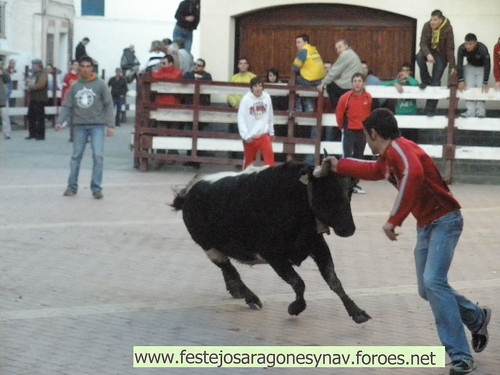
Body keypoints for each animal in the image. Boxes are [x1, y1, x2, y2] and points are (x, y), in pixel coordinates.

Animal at [172, 162, 372, 324]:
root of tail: (189, 192)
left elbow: (334, 281)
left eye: (349, 192)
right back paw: (251, 298)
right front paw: (295, 307)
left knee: (228, 269)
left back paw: (236, 291)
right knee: (231, 270)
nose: (349, 229)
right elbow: (298, 283)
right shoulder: (274, 256)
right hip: (209, 248)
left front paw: (357, 312)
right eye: (327, 192)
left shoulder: (318, 247)